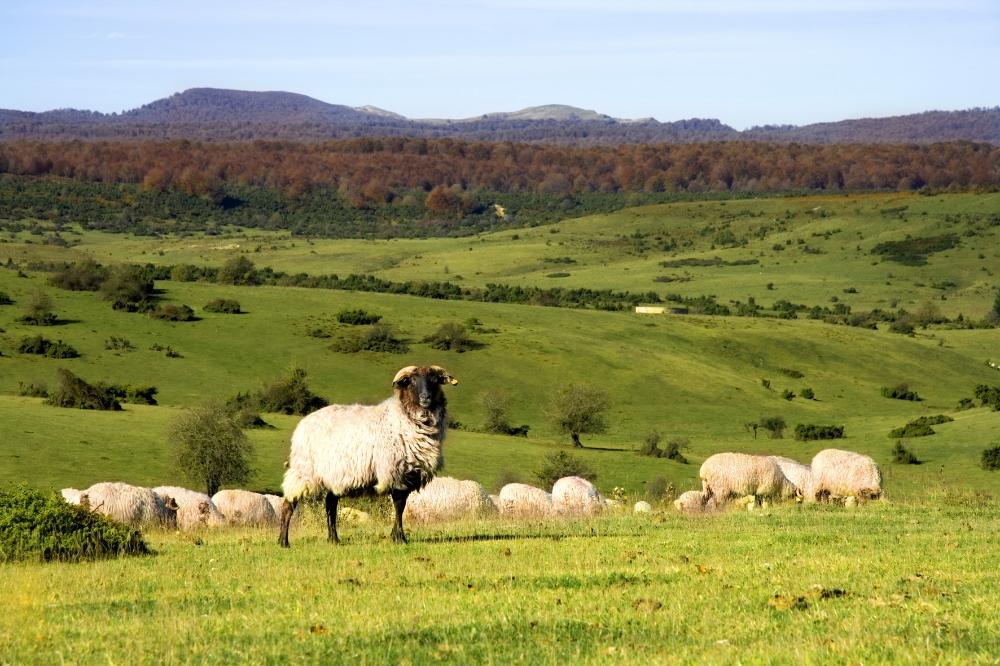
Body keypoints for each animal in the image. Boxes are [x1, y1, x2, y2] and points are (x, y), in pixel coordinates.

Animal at [279, 365, 457, 547]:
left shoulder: (410, 474)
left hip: (334, 474)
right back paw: (283, 542)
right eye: (412, 381)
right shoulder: (395, 472)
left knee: (330, 504)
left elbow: (401, 507)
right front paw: (399, 538)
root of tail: (303, 423)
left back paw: (334, 539)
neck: (402, 417)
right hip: (303, 471)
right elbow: (399, 506)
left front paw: (396, 535)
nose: (425, 398)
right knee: (288, 505)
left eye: (435, 380)